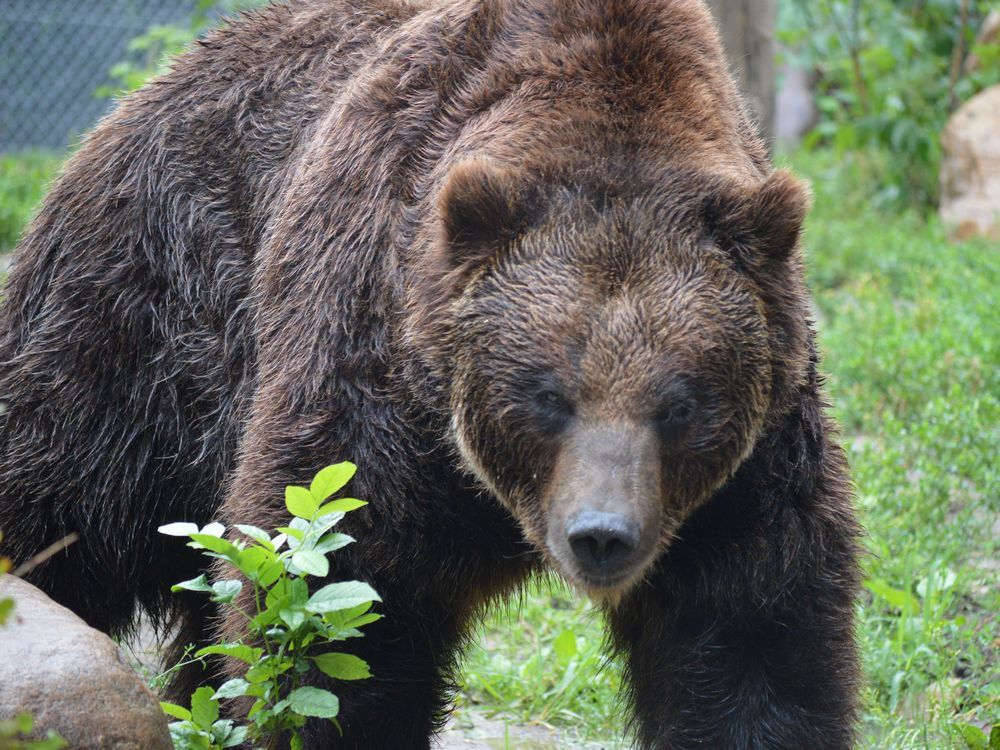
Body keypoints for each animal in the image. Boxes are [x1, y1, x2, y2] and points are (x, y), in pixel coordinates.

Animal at [0, 1, 860, 750]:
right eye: (548, 395)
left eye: (680, 405)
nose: (601, 535)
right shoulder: (372, 380)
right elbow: (338, 615)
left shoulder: (744, 475)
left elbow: (754, 636)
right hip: (143, 322)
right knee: (59, 484)